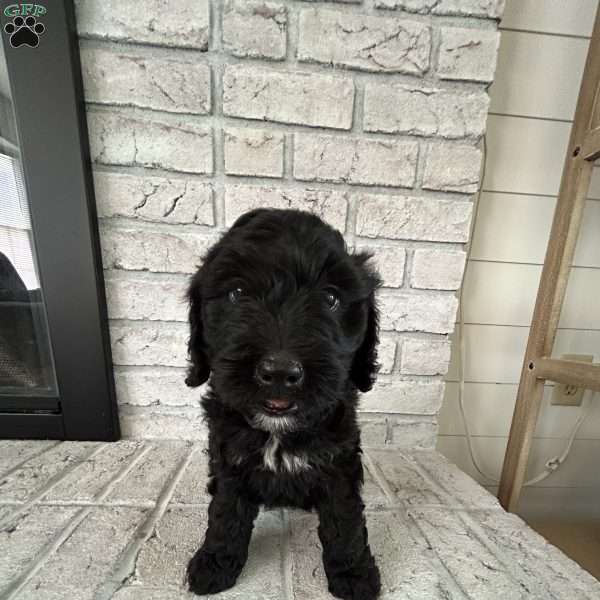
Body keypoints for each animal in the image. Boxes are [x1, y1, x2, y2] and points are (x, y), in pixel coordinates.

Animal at [185, 207, 382, 600]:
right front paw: (215, 563)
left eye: (330, 299)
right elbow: (225, 511)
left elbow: (345, 516)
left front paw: (353, 574)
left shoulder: (339, 460)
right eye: (237, 293)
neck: (278, 432)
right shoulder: (228, 455)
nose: (279, 371)